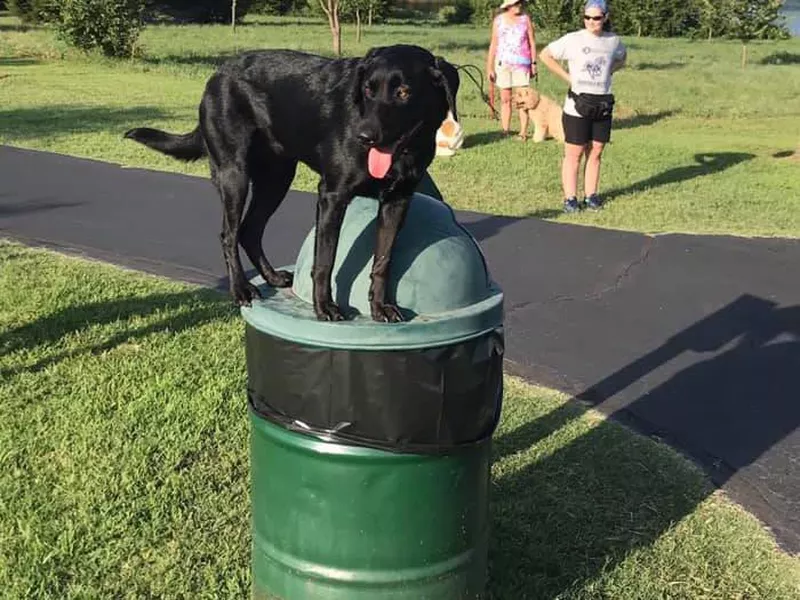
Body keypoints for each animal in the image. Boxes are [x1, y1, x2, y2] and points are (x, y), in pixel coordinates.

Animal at [122, 45, 454, 324]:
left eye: (403, 92)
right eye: (368, 90)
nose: (365, 136)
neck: (404, 151)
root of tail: (217, 74)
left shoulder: (397, 201)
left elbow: (383, 260)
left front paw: (380, 307)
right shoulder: (332, 195)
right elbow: (325, 259)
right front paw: (324, 307)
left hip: (276, 179)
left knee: (250, 230)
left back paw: (270, 278)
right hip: (234, 176)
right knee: (229, 234)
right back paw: (241, 289)